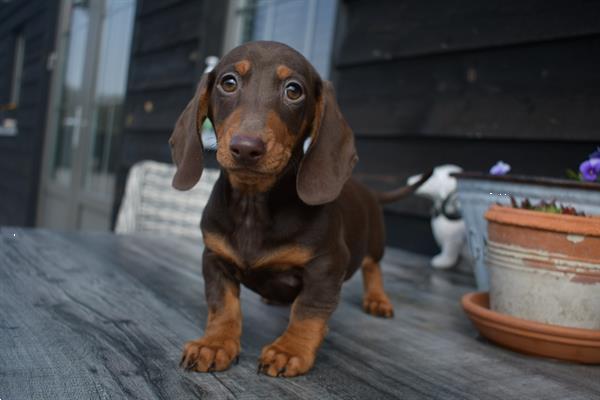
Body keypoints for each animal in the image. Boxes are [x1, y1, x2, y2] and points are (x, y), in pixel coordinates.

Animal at [168, 41, 426, 378]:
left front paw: (289, 350)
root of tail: (368, 190)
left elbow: (308, 311)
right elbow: (222, 306)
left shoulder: (326, 265)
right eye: (228, 83)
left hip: (374, 243)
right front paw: (214, 344)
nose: (246, 148)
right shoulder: (215, 258)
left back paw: (377, 299)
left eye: (294, 90)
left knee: (374, 268)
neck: (254, 205)